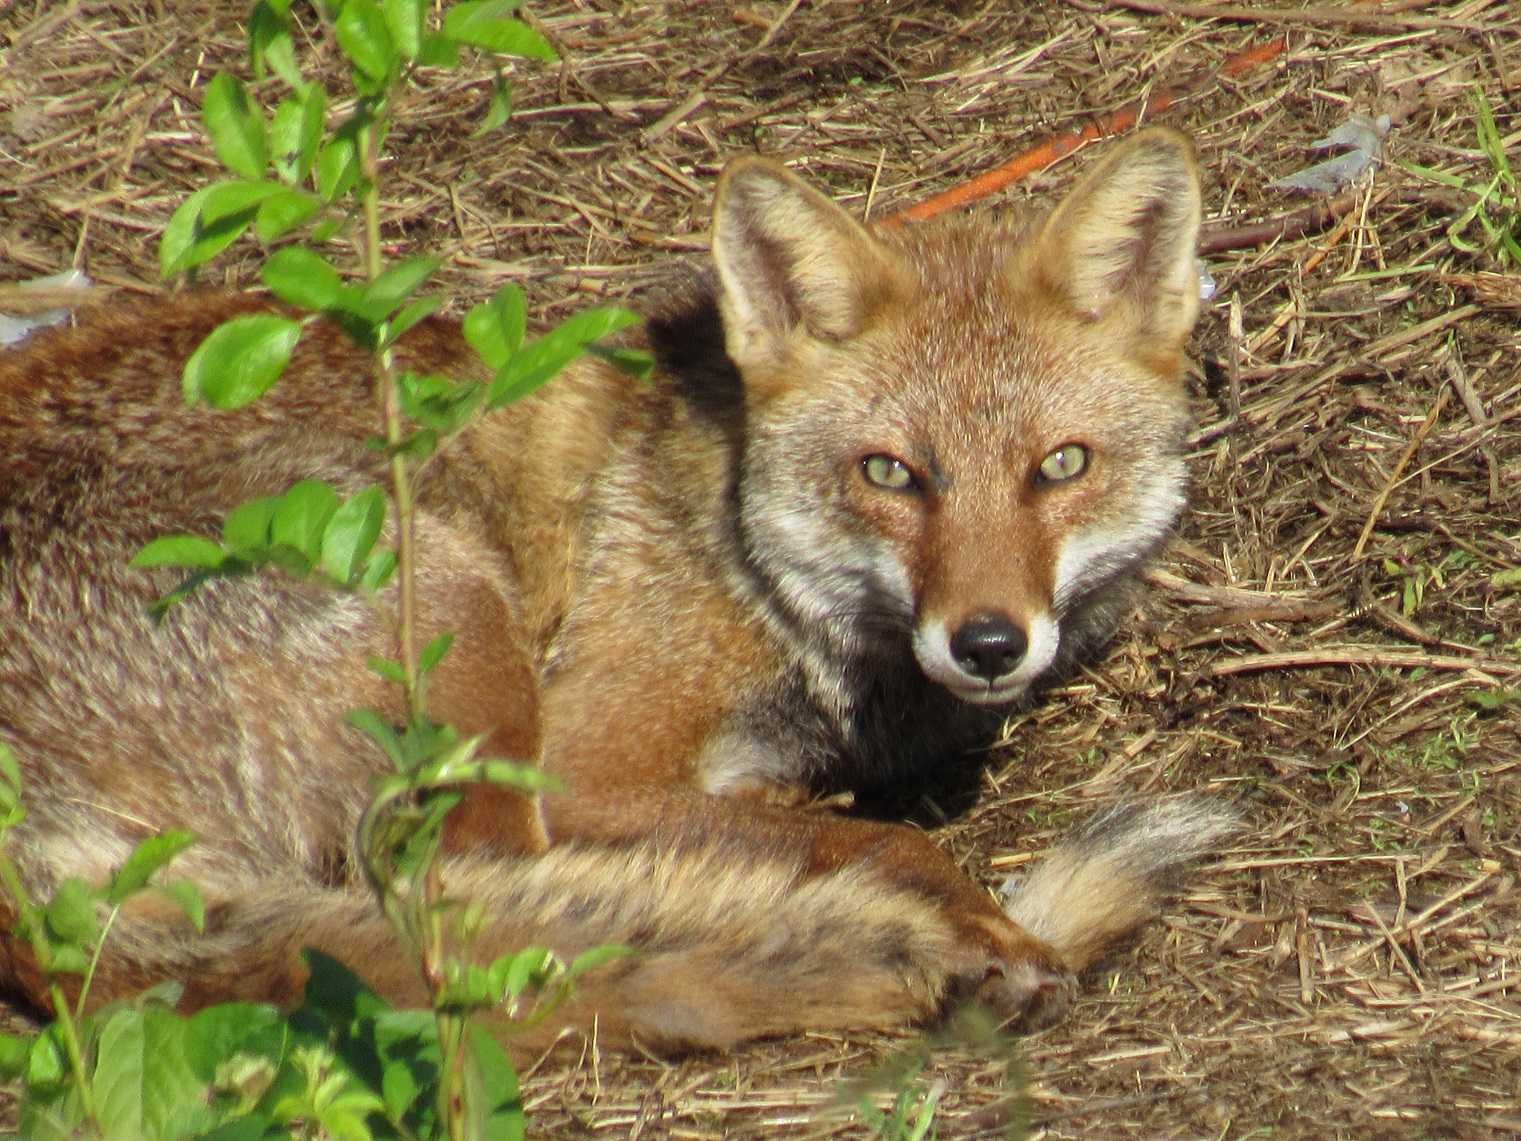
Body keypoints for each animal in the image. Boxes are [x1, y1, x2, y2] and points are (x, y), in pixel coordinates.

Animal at [0, 127, 1228, 1052]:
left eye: (1060, 466)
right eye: (889, 474)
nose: (986, 642)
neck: (744, 548)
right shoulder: (591, 758)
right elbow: (877, 840)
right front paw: (971, 922)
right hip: (448, 600)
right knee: (476, 878)